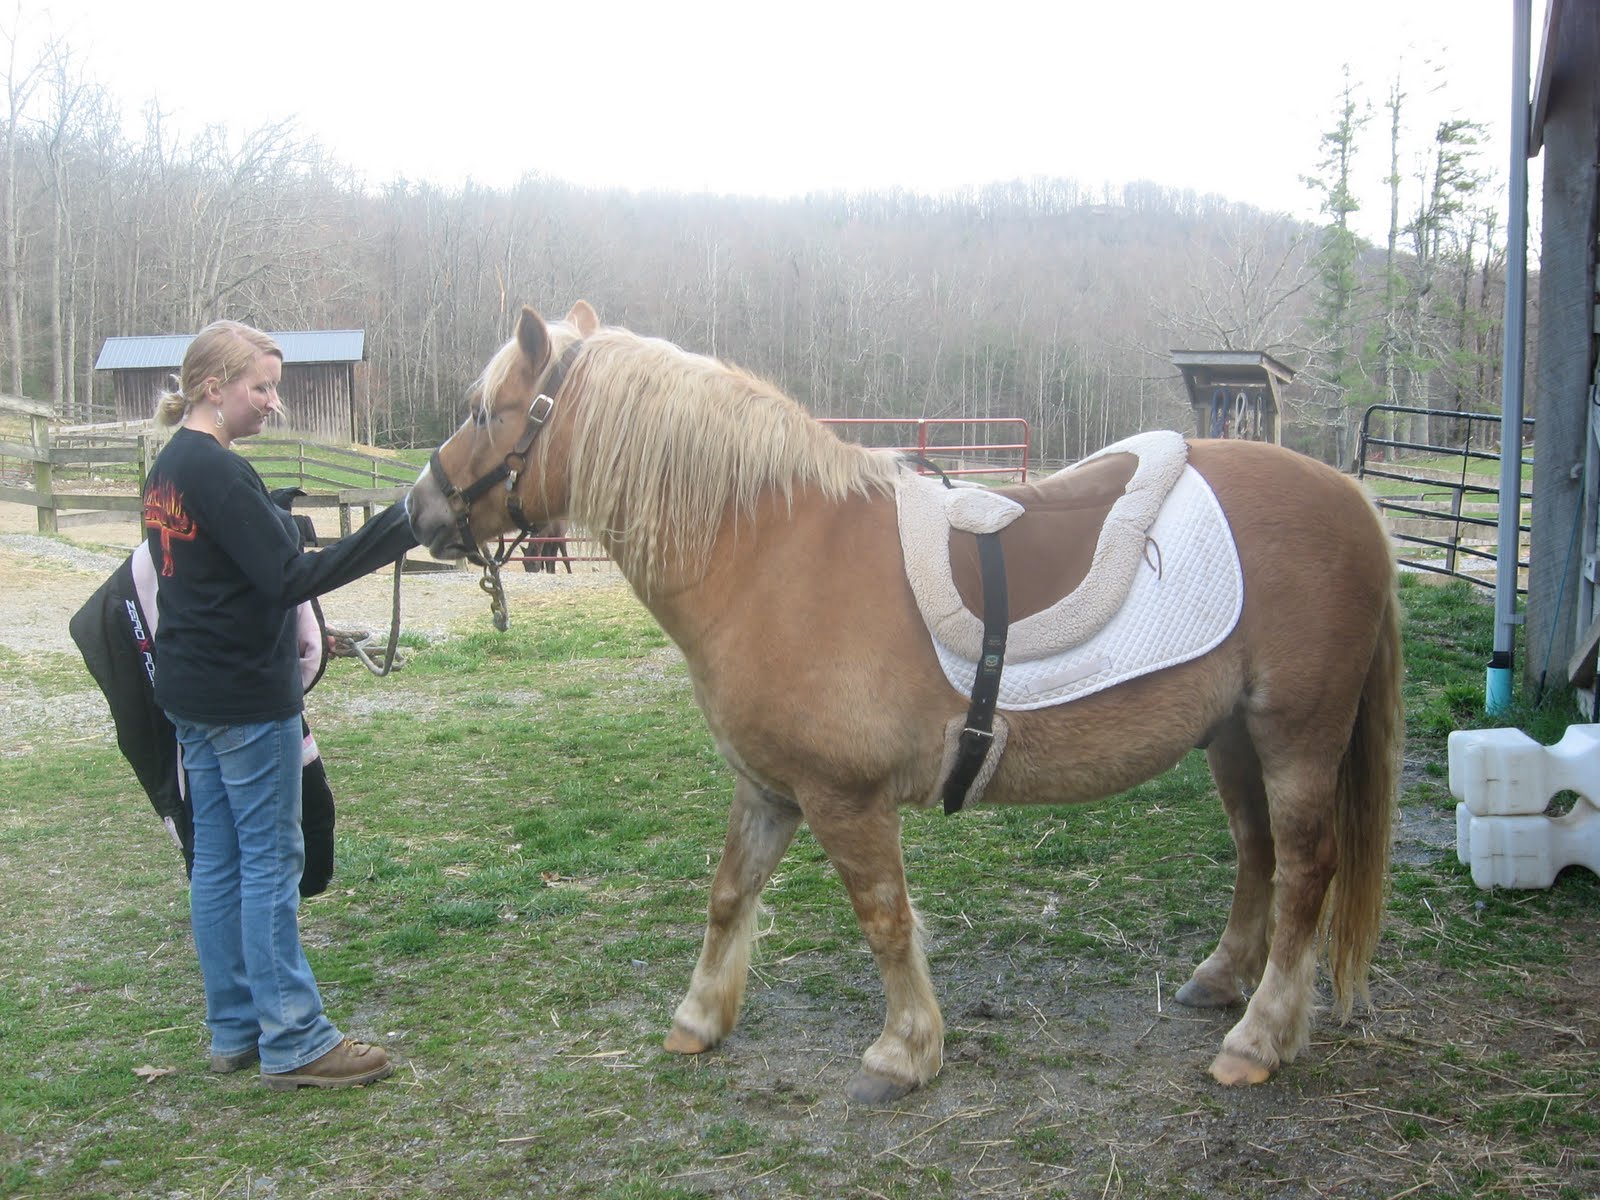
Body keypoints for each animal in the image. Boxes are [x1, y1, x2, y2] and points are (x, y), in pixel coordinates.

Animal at [407, 301, 1404, 1104]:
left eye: (482, 411)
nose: (418, 510)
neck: (771, 555)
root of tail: (1352, 499)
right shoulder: (768, 789)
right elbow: (729, 895)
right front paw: (698, 1019)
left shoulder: (844, 798)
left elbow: (883, 916)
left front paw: (905, 1051)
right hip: (1231, 736)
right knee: (1257, 852)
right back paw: (1221, 980)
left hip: (1297, 736)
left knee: (1306, 868)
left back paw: (1260, 1038)